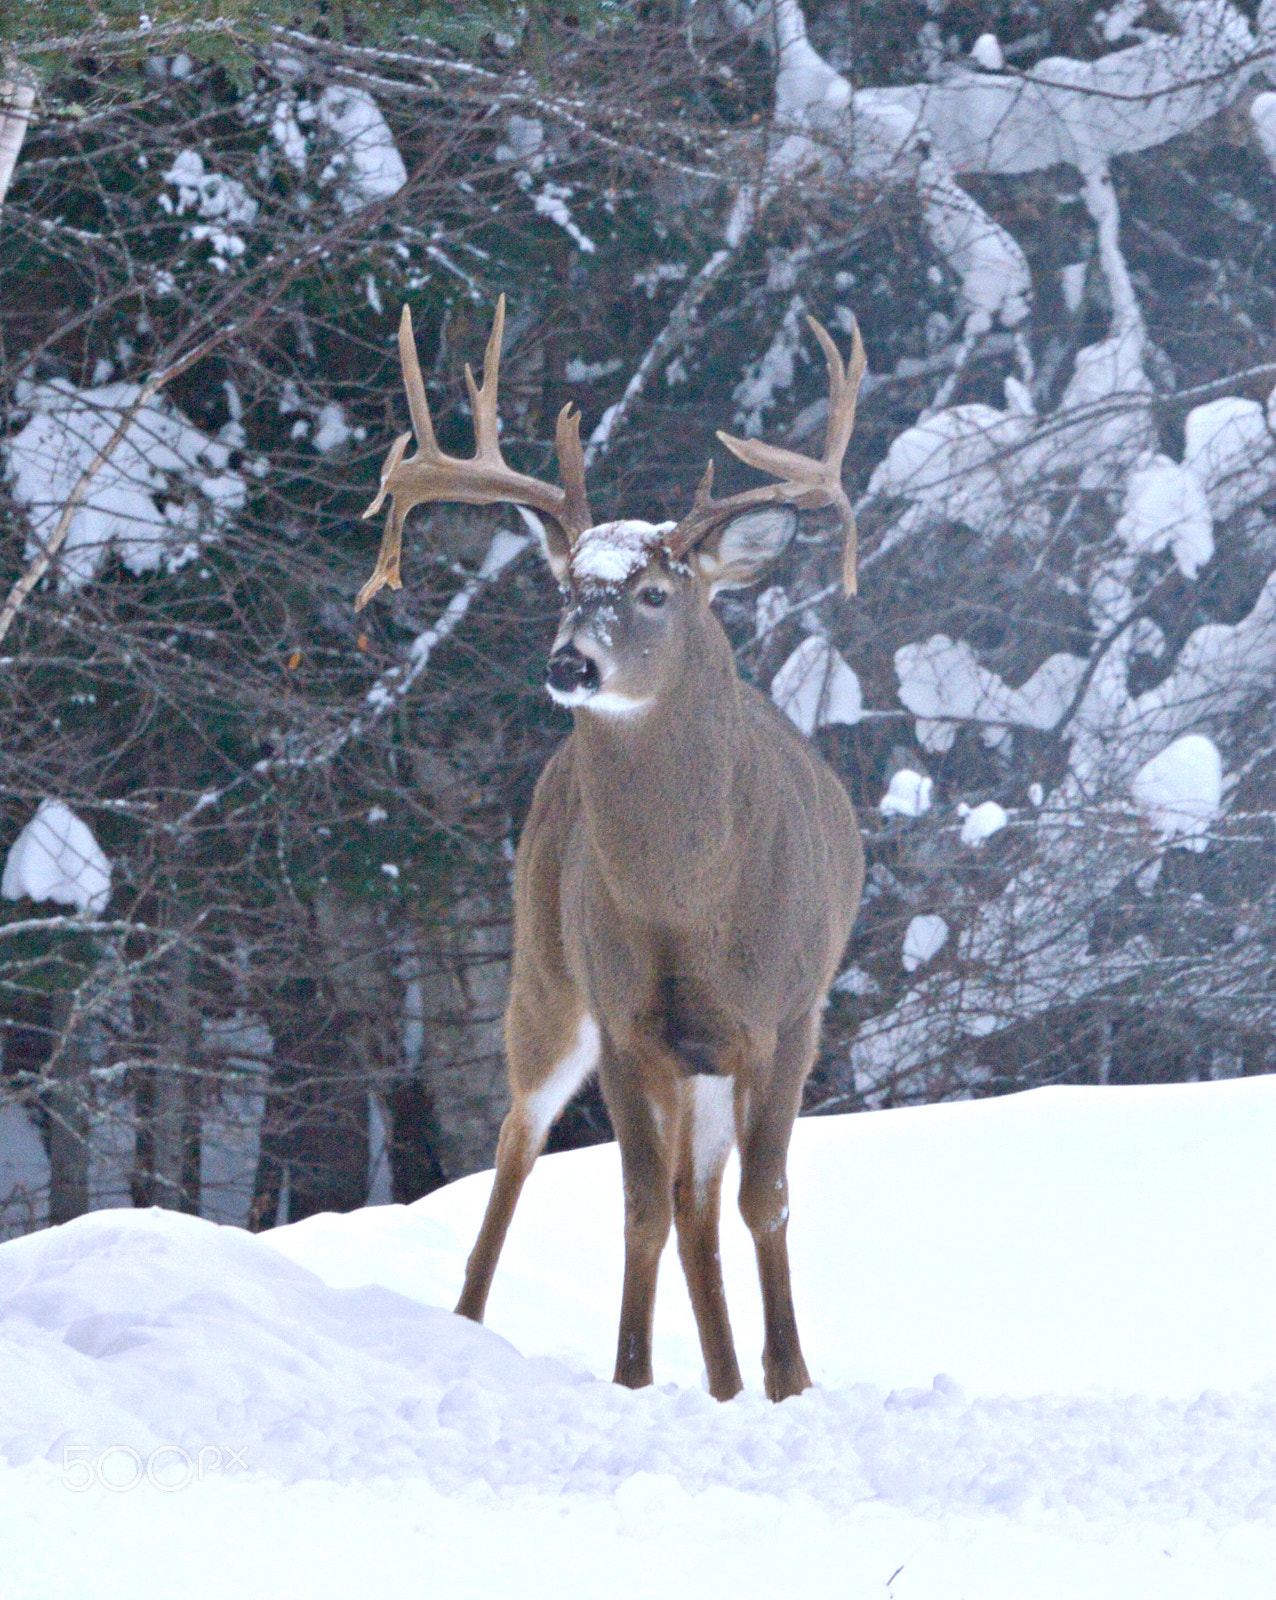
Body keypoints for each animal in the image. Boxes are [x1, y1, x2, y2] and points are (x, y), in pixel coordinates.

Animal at [356, 296, 866, 1402]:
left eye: (653, 594)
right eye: (563, 589)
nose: (569, 662)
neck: (691, 905)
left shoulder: (787, 1014)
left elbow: (762, 1198)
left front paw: (788, 1381)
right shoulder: (629, 1019)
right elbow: (634, 1204)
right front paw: (632, 1378)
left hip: (706, 1052)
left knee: (699, 1199)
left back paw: (727, 1383)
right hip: (550, 976)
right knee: (522, 1136)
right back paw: (468, 1321)